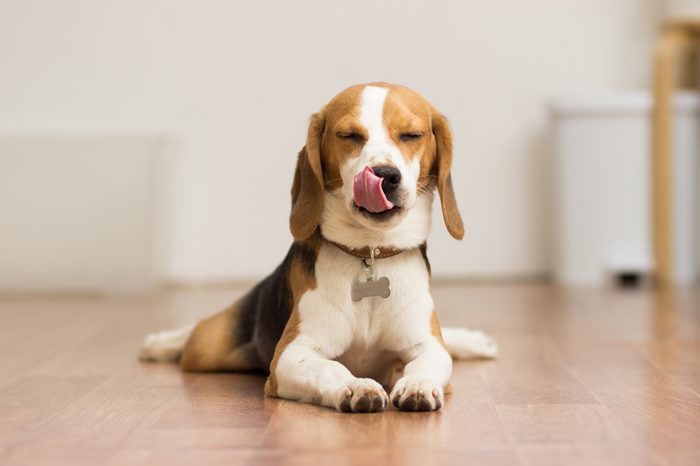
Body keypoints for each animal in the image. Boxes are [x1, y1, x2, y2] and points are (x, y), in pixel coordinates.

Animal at [139, 83, 494, 412]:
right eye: (349, 135)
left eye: (411, 135)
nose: (385, 175)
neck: (370, 255)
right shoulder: (290, 355)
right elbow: (330, 368)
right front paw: (356, 386)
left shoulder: (427, 345)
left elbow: (428, 360)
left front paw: (418, 384)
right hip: (207, 346)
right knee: (193, 332)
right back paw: (160, 343)